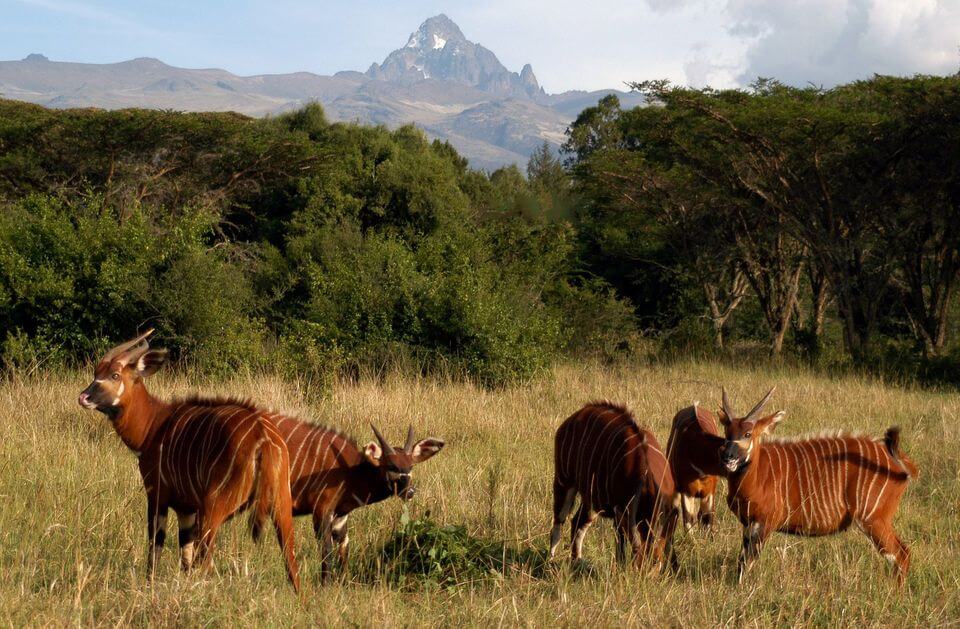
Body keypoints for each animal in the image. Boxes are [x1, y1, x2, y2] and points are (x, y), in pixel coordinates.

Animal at [77, 332, 298, 592]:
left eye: (114, 375)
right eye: (96, 372)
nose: (83, 397)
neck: (154, 425)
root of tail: (263, 438)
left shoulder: (157, 495)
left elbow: (156, 546)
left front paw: (150, 586)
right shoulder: (186, 510)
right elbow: (185, 554)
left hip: (214, 507)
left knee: (206, 560)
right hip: (280, 506)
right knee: (291, 562)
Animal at [266, 418, 446, 580]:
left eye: (411, 466)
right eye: (391, 466)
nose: (409, 492)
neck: (349, 472)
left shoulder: (340, 516)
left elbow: (344, 547)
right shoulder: (322, 510)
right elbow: (326, 550)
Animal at [552, 402, 680, 568]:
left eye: (656, 565)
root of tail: (575, 416)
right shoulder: (621, 511)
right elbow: (622, 546)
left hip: (592, 501)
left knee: (577, 522)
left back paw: (577, 561)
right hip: (564, 481)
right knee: (558, 521)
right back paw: (550, 560)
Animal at [716, 388, 920, 584]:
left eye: (747, 434)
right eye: (727, 432)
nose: (727, 456)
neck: (758, 474)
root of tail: (902, 463)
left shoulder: (764, 522)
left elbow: (748, 562)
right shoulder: (748, 524)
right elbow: (742, 561)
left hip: (873, 519)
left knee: (900, 555)